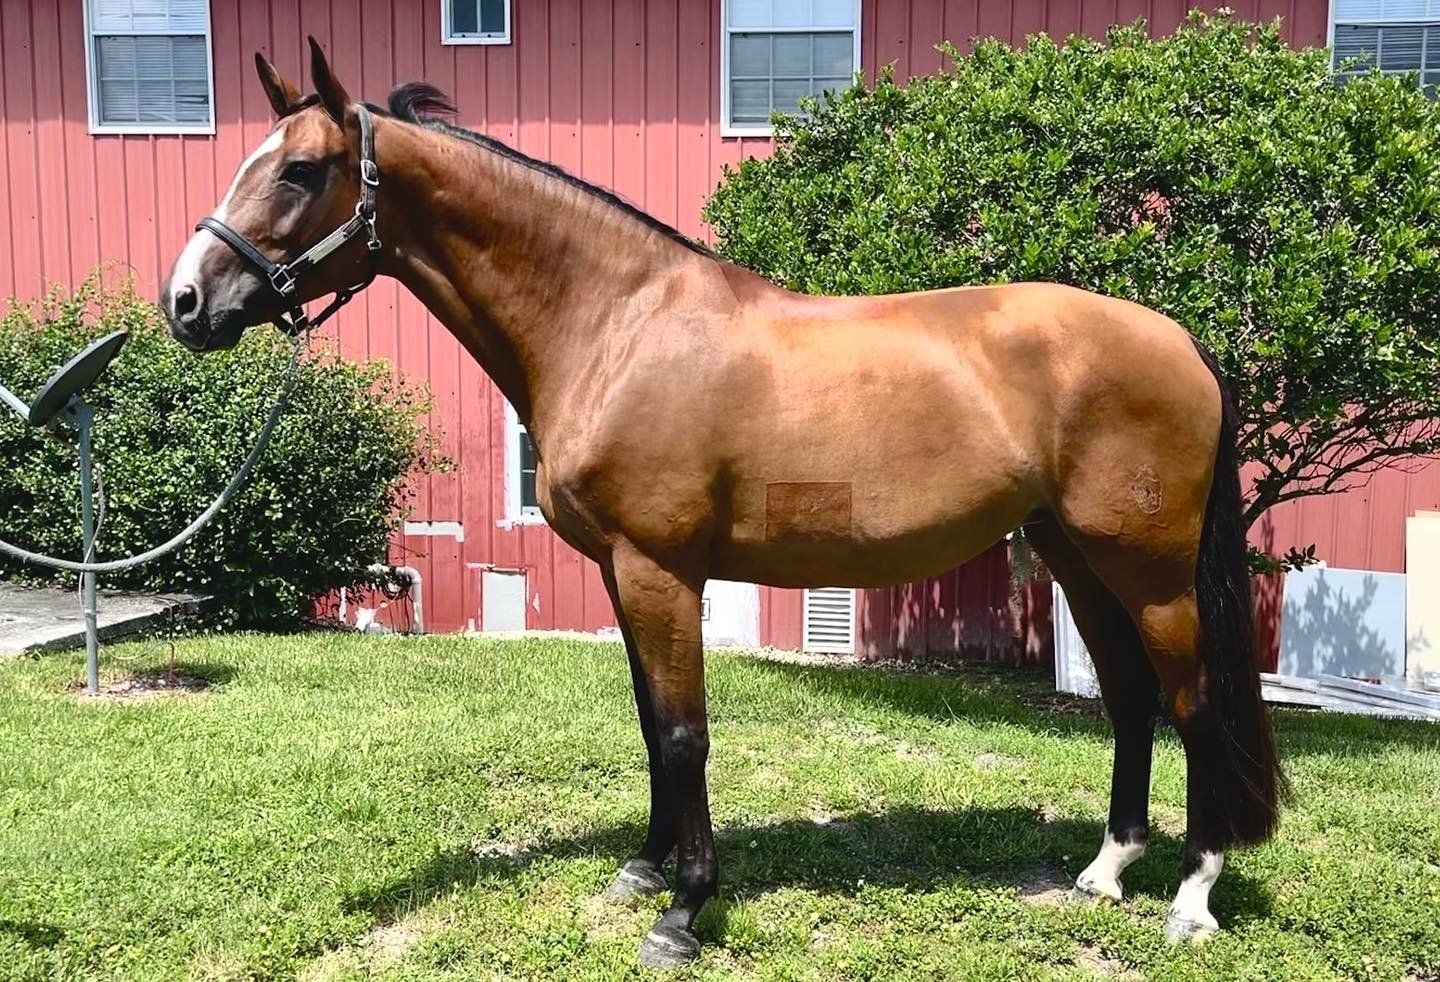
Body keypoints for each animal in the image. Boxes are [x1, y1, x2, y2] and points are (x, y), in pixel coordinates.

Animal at [160, 40, 1284, 968]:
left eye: (302, 170)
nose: (184, 302)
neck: (616, 323)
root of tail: (1181, 340)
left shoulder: (662, 568)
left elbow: (686, 733)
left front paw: (684, 911)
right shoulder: (624, 571)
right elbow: (652, 724)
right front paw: (645, 869)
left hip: (1149, 570)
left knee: (1191, 703)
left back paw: (1192, 898)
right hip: (1074, 554)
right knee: (1132, 700)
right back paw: (1106, 872)